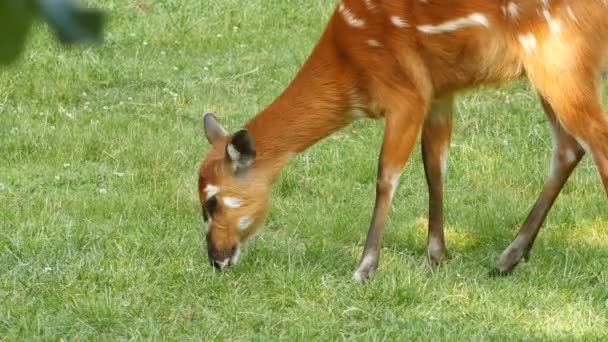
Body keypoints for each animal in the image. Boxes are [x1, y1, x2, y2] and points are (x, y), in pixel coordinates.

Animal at [200, 0, 608, 280]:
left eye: (212, 201)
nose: (216, 259)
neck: (349, 65)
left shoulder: (405, 95)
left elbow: (387, 176)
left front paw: (364, 268)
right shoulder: (439, 93)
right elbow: (435, 165)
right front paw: (437, 254)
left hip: (561, 59)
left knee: (596, 143)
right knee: (569, 147)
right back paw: (507, 258)